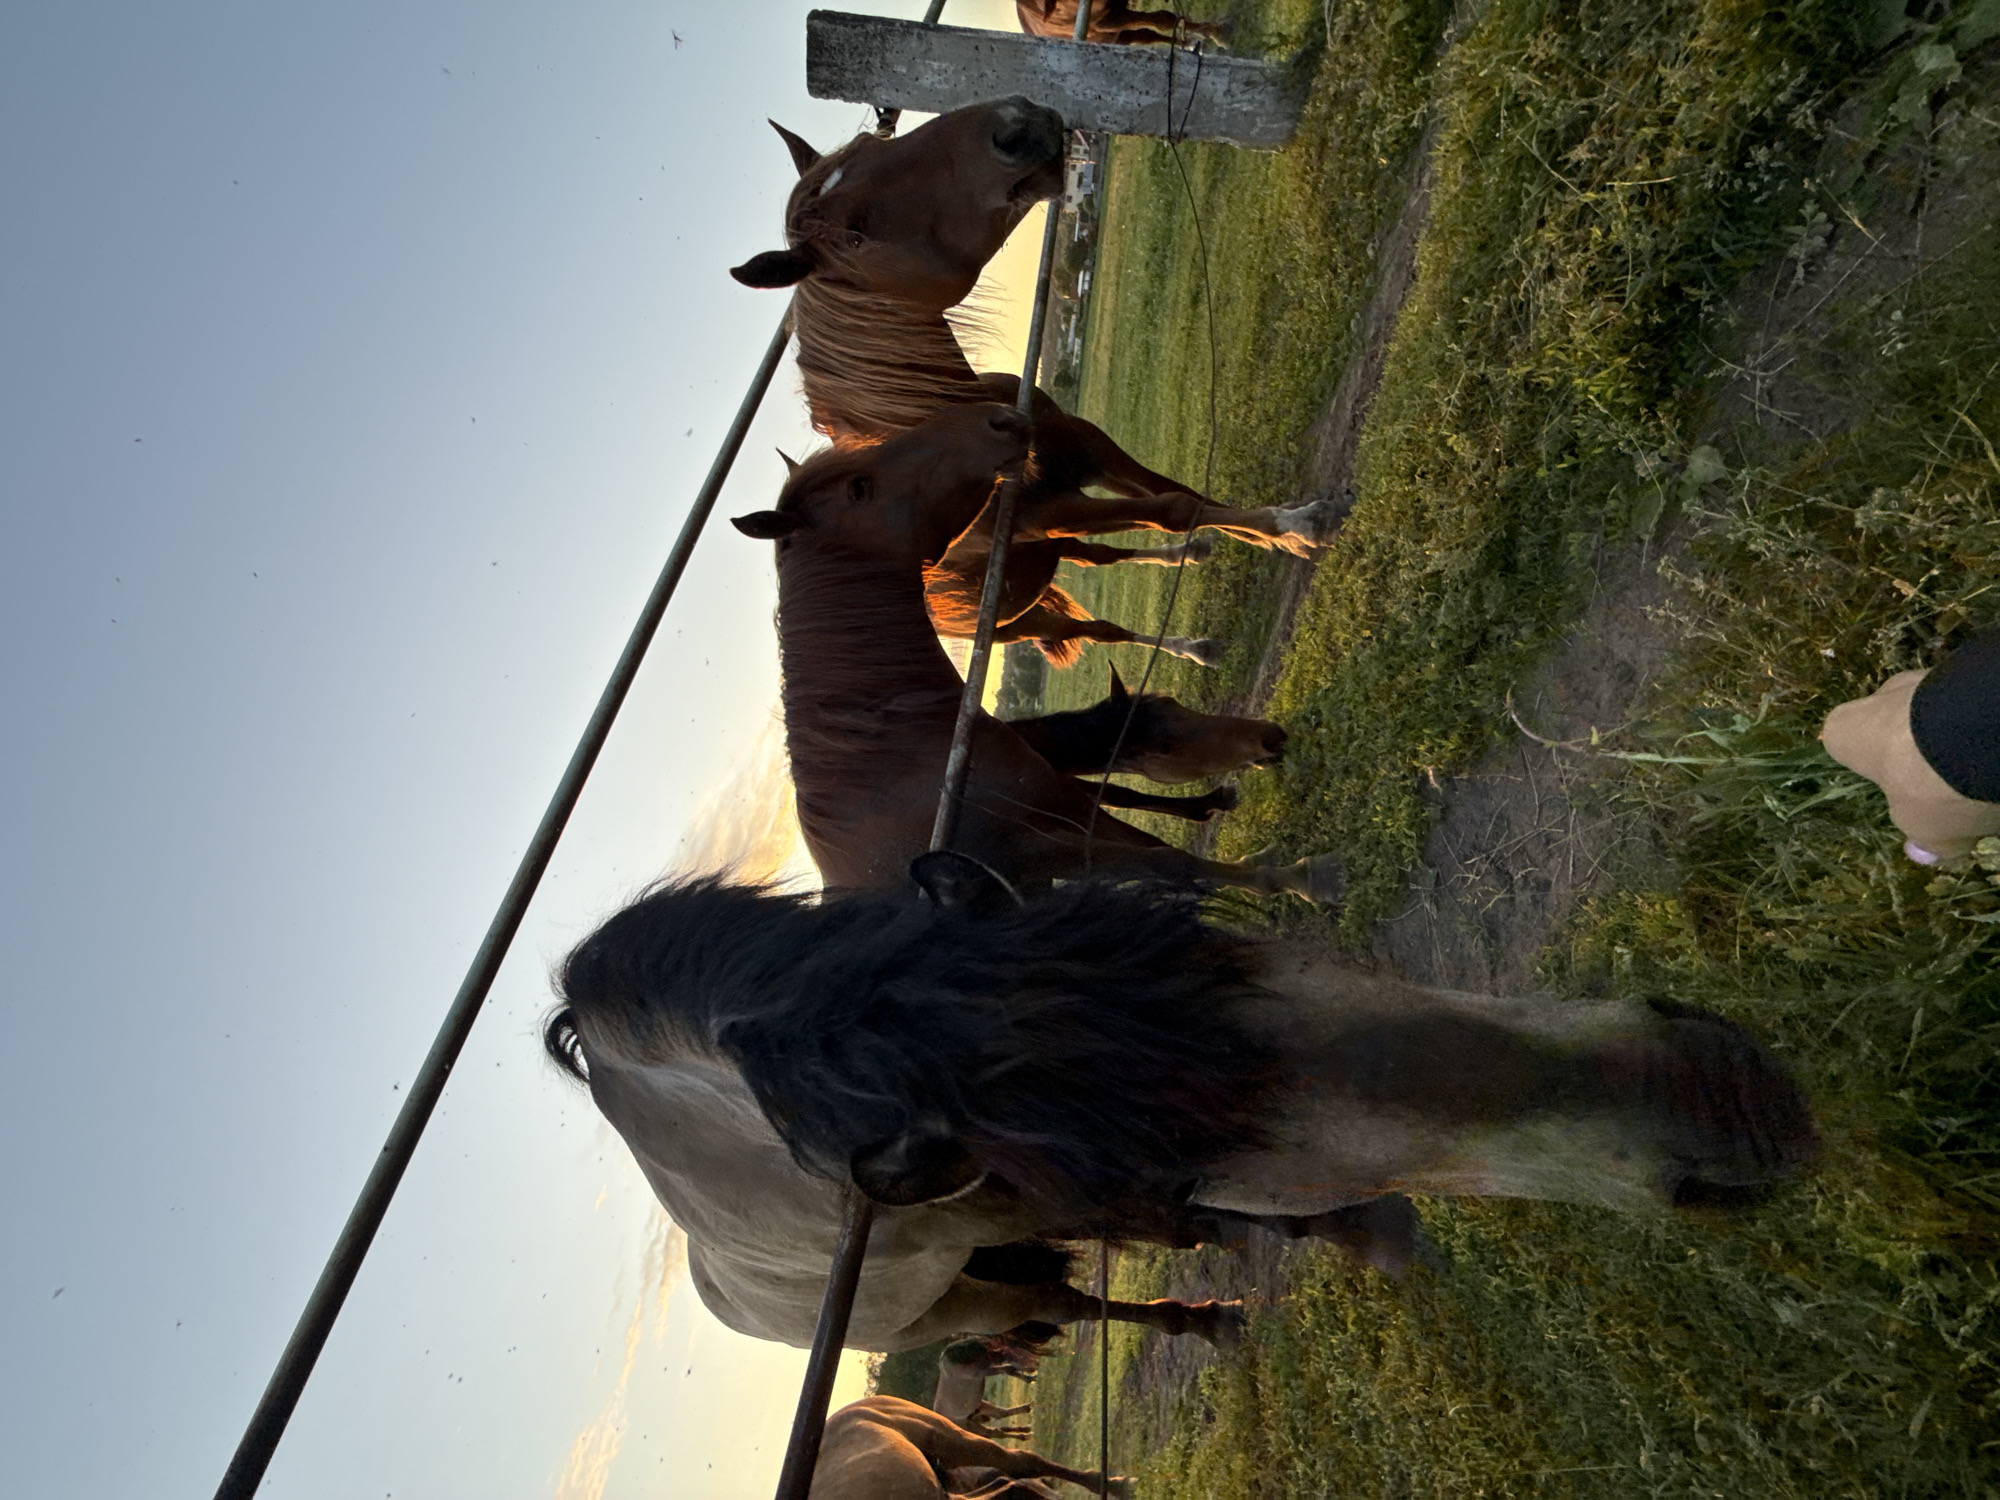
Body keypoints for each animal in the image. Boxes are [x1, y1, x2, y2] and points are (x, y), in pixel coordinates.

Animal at [543, 854, 1819, 1356]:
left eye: (1219, 960)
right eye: (1199, 1144)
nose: (1731, 1104)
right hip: (957, 1306)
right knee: (1081, 1307)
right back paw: (1199, 1323)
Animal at [730, 402, 1342, 902]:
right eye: (860, 487)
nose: (998, 420)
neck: (898, 755)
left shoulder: (1062, 803)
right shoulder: (1046, 843)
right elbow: (1170, 860)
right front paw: (1300, 876)